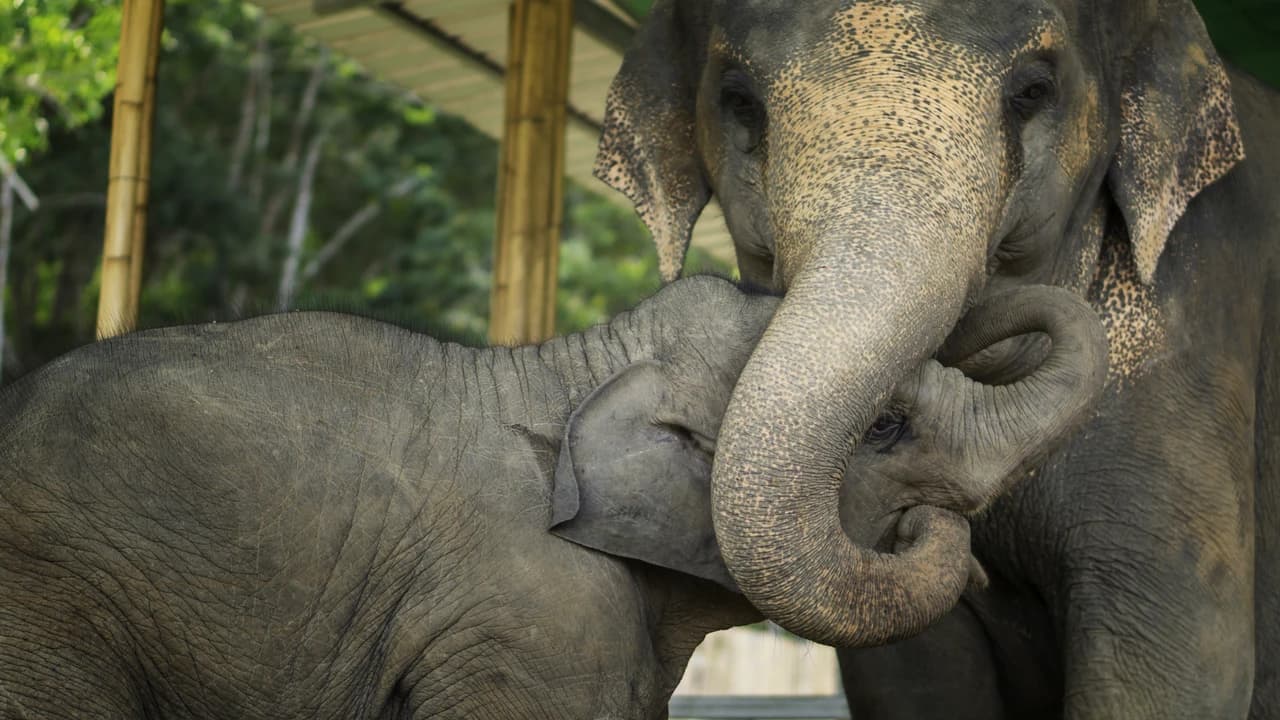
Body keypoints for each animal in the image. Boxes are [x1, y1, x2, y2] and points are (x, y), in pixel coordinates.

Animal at [597, 0, 1280, 717]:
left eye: (1033, 91)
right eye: (740, 101)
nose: (927, 519)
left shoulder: (1191, 360)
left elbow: (1174, 670)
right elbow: (913, 674)